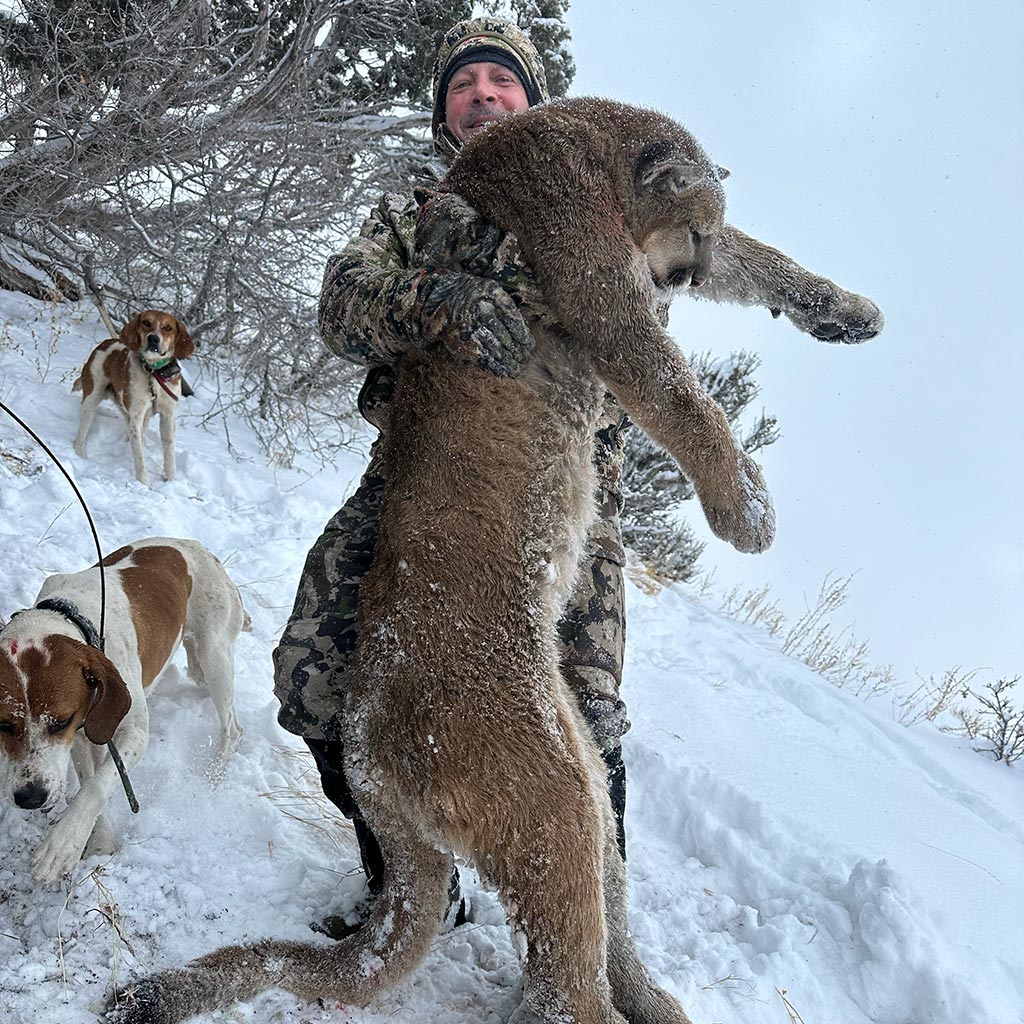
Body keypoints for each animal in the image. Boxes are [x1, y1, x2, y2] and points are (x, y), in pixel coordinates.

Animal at [107, 98, 881, 1024]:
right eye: (689, 228)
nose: (684, 279)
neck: (589, 148)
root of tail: (373, 760)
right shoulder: (599, 279)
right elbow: (677, 391)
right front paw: (748, 513)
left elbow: (762, 261)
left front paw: (846, 312)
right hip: (550, 801)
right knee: (562, 986)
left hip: (581, 772)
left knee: (593, 921)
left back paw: (653, 998)